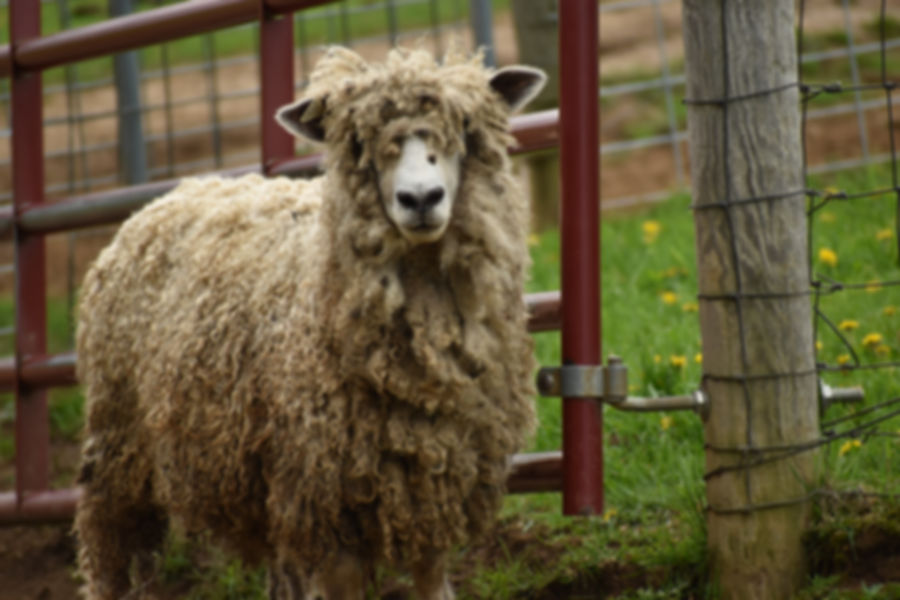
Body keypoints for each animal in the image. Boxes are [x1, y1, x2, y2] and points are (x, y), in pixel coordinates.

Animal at [74, 46, 546, 600]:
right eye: (359, 142)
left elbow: (432, 582)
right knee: (110, 547)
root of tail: (172, 194)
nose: (421, 199)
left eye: (464, 130)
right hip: (118, 443)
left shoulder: (432, 484)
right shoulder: (324, 496)